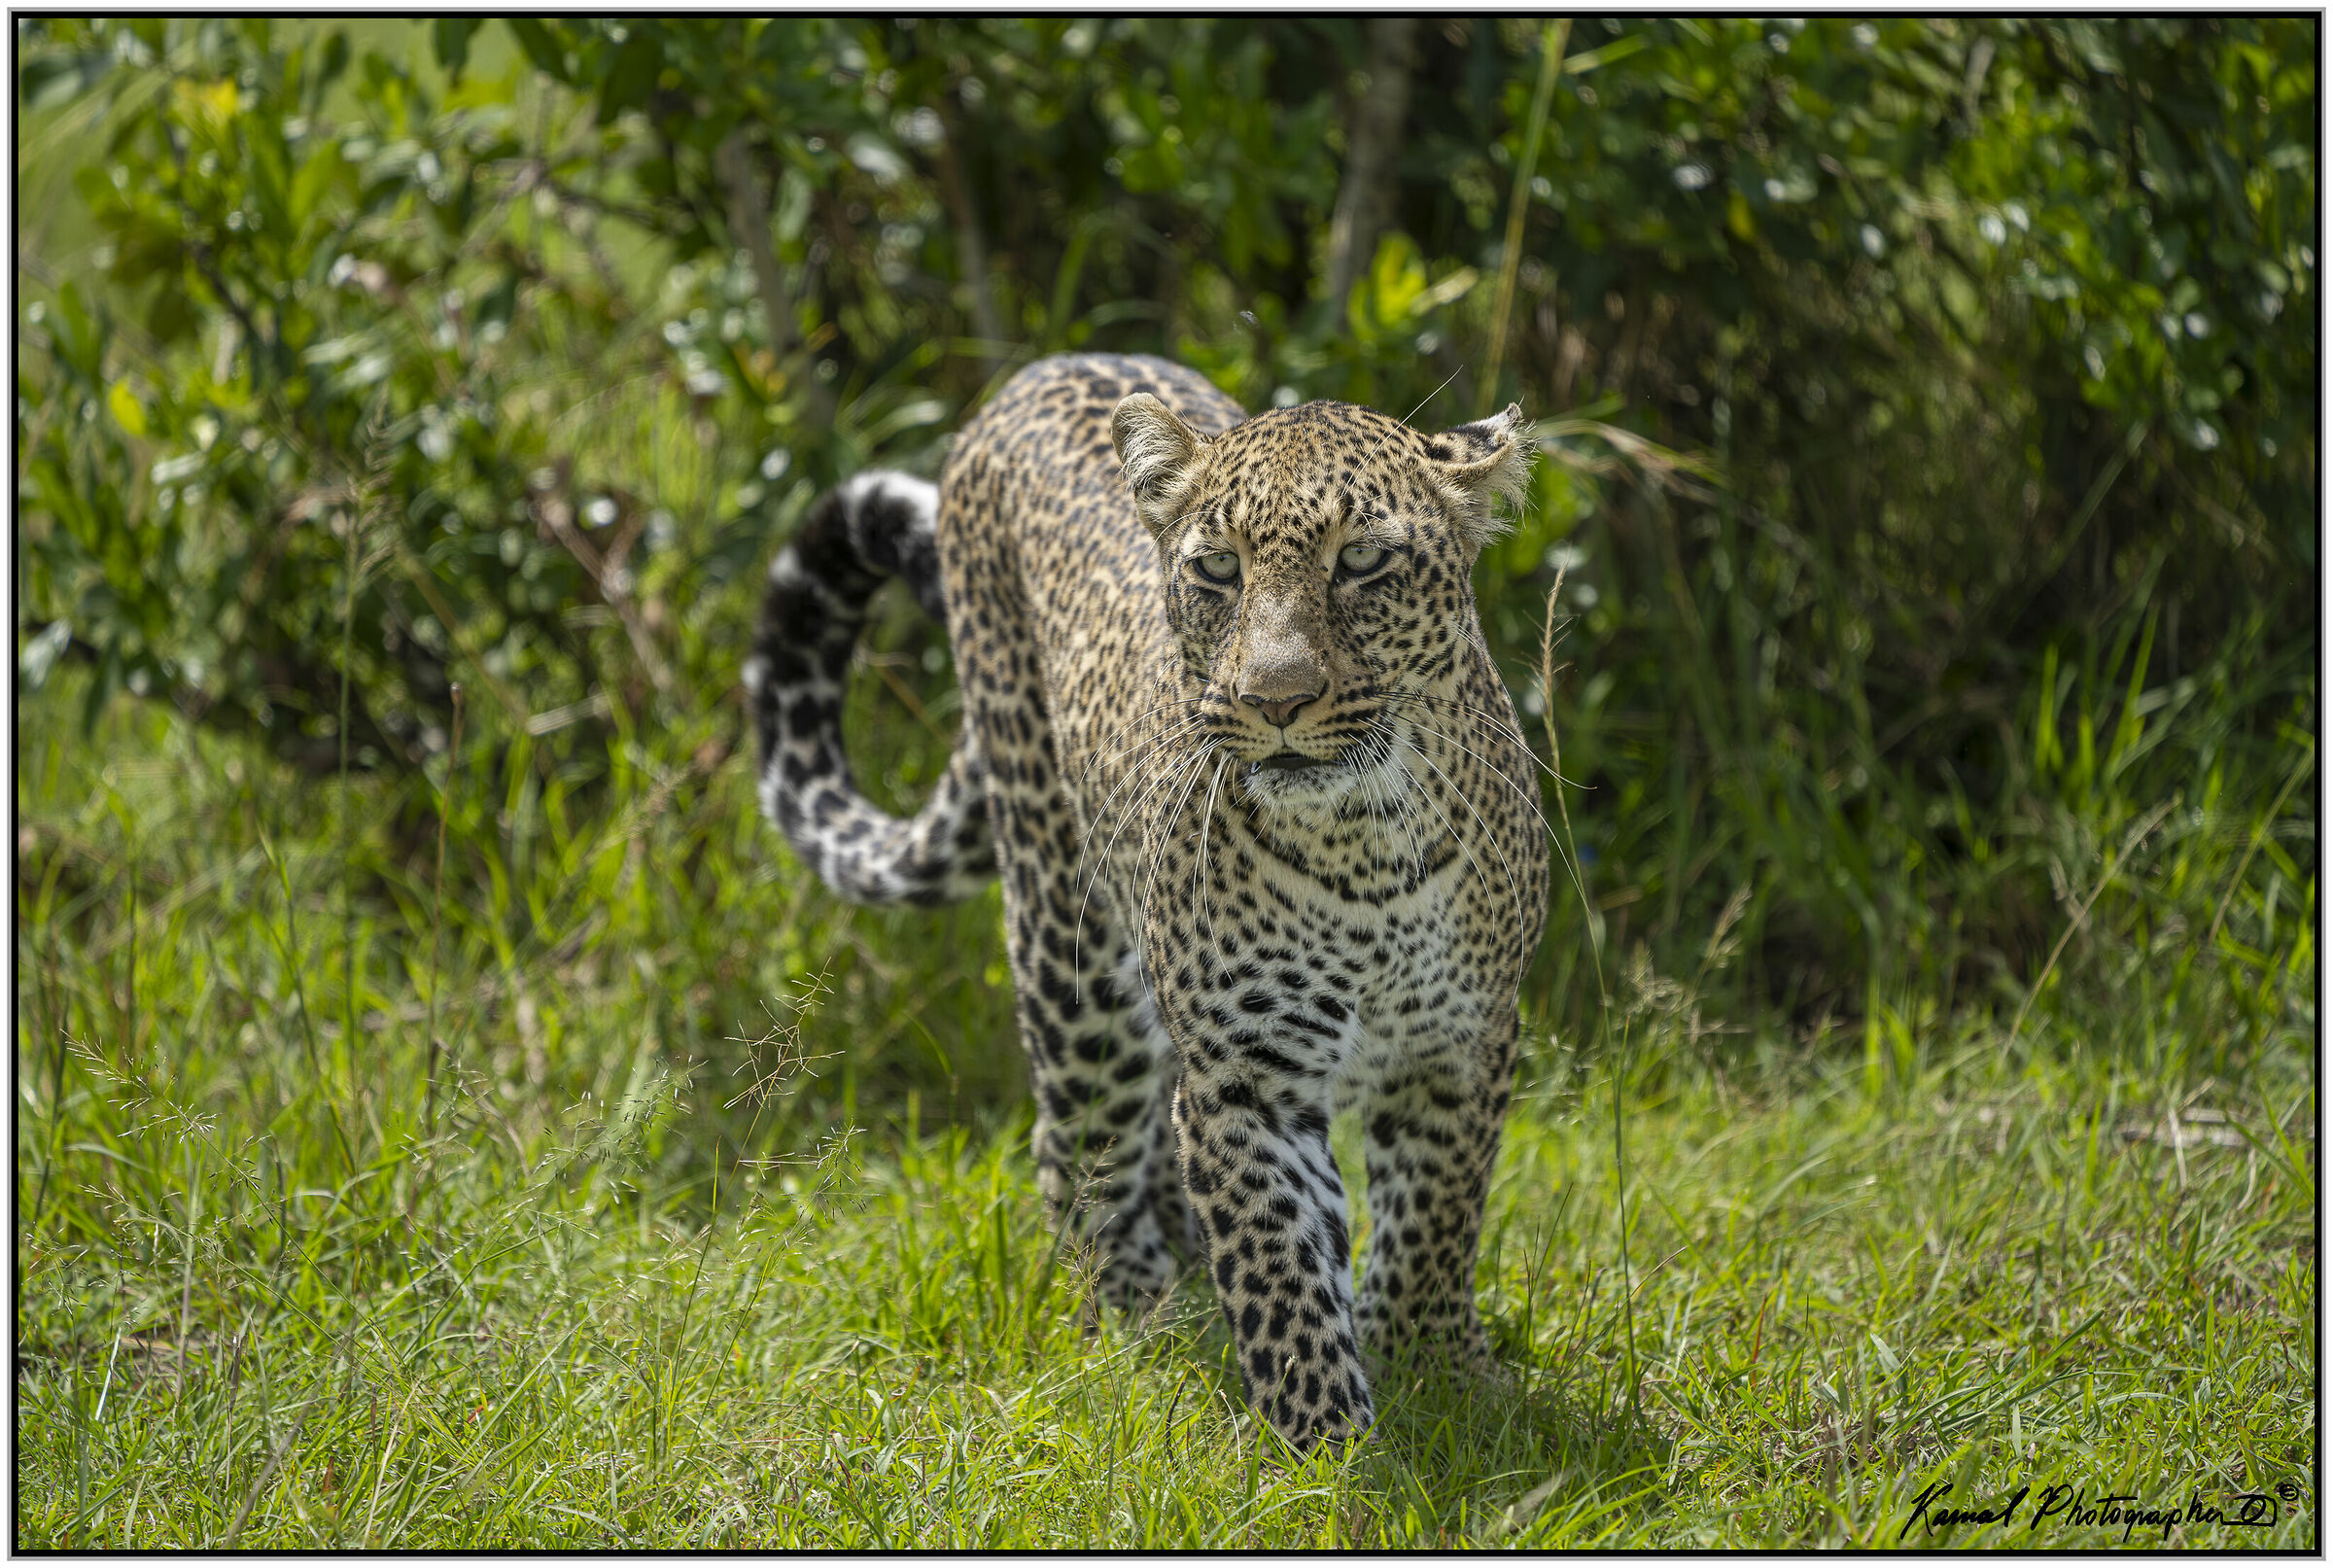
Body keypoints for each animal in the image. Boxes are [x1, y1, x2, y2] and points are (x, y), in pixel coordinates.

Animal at [744, 352, 1549, 1448]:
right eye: (1217, 572)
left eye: (1362, 561)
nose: (1275, 700)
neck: (1365, 844)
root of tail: (1033, 373)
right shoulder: (1246, 1072)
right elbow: (1284, 1268)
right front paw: (1327, 1447)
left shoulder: (1463, 1039)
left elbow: (1438, 1212)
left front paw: (1439, 1367)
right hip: (1070, 937)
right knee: (1074, 1146)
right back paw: (1132, 1322)